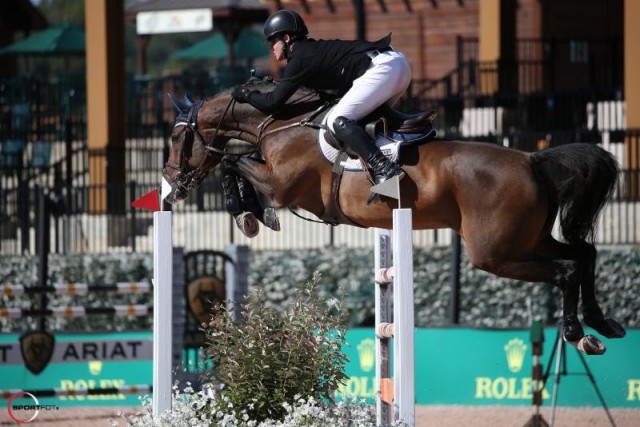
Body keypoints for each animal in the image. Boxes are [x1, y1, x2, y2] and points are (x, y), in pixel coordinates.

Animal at [161, 79, 624, 354]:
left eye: (178, 137)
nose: (171, 183)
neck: (281, 124)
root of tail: (534, 160)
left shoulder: (281, 184)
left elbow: (231, 164)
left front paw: (250, 214)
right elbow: (234, 163)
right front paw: (252, 214)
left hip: (495, 252)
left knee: (566, 269)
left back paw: (578, 334)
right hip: (527, 239)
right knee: (584, 255)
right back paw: (603, 322)